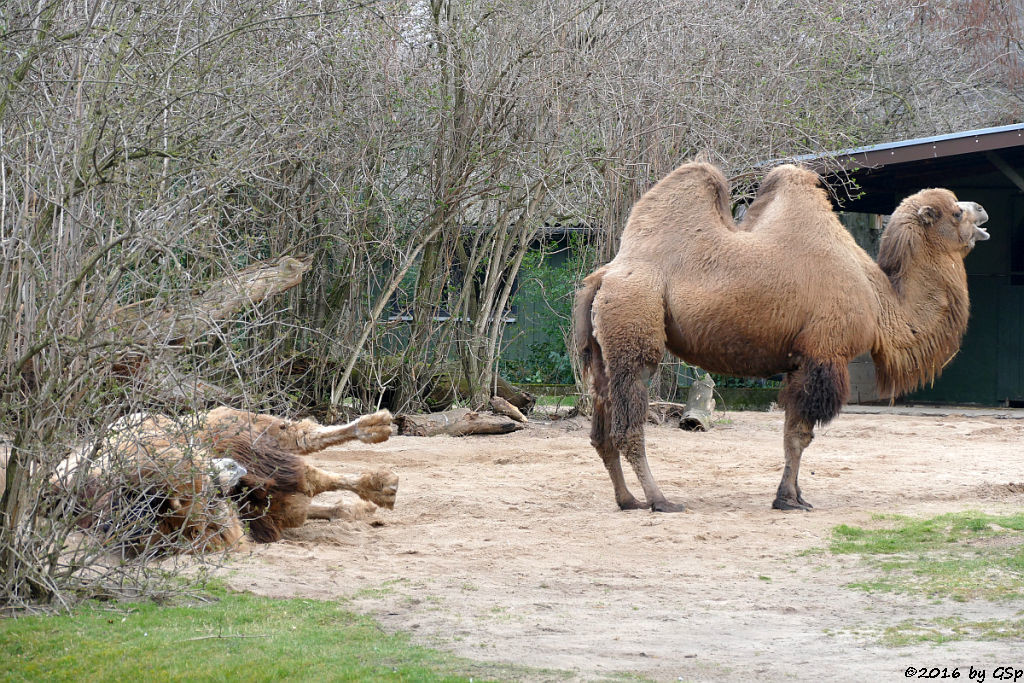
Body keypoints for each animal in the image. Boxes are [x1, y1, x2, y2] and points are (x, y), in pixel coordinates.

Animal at [573, 161, 987, 511]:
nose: (982, 209)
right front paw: (788, 499)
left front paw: (795, 495)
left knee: (601, 423)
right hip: (634, 328)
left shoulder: (797, 361)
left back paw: (627, 499)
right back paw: (660, 500)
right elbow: (800, 434)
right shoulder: (823, 353)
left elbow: (790, 432)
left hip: (604, 351)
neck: (878, 297)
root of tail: (603, 276)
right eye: (955, 212)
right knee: (628, 425)